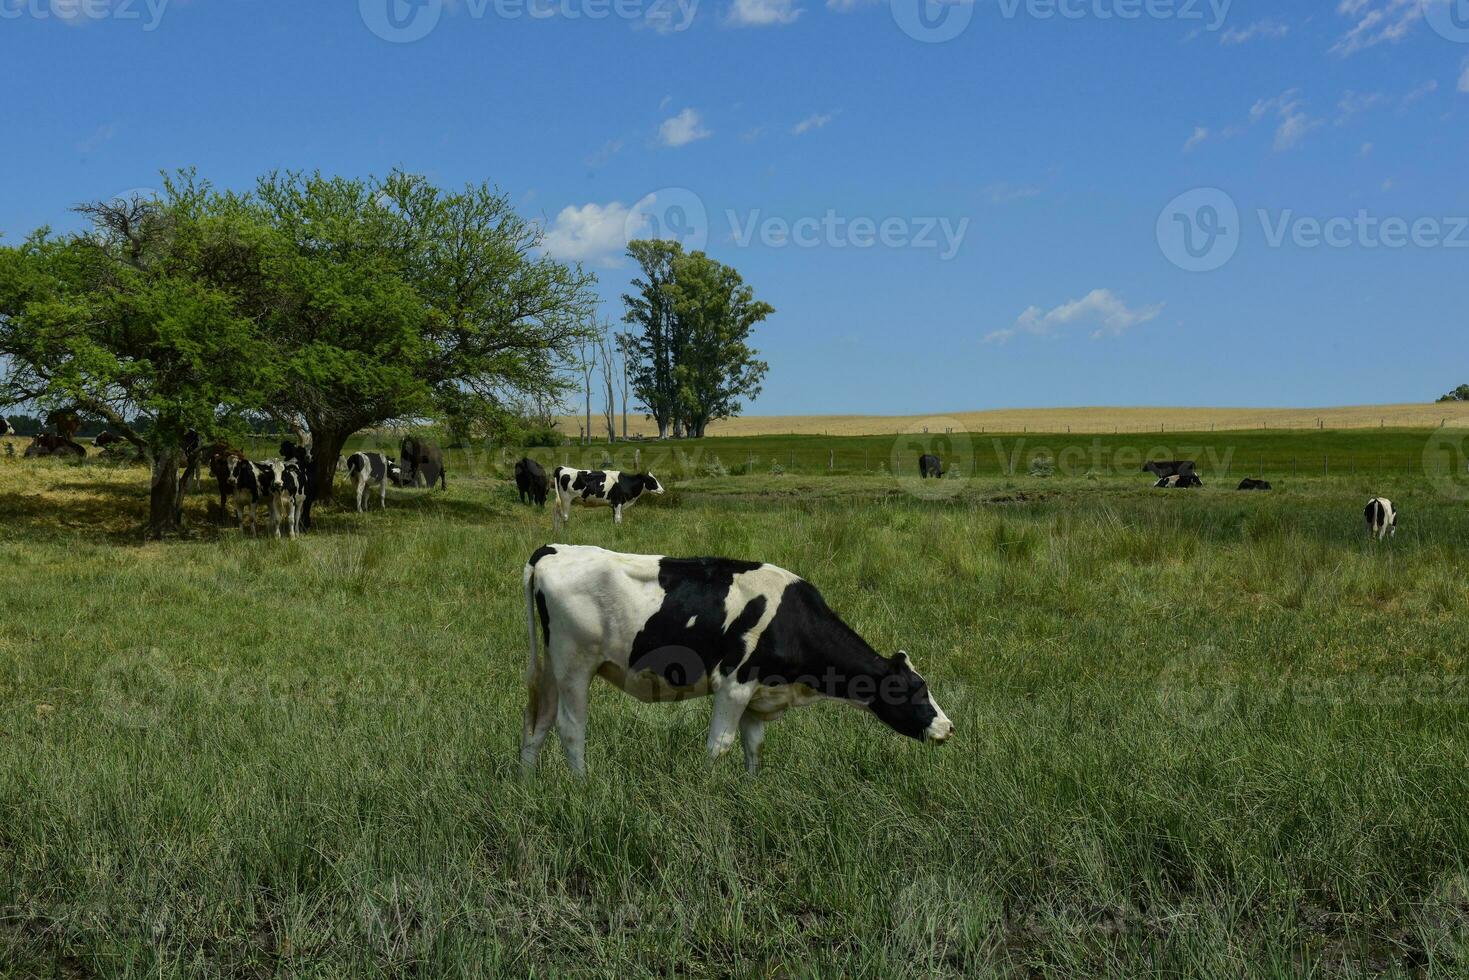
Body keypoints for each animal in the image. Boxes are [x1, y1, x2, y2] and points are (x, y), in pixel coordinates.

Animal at [522, 543, 957, 775]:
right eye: (916, 689)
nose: (949, 728)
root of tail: (554, 550)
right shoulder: (734, 684)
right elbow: (721, 745)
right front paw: (707, 790)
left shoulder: (759, 693)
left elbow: (754, 746)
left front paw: (752, 787)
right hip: (575, 664)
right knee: (571, 727)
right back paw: (581, 784)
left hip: (552, 666)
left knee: (538, 722)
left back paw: (527, 783)